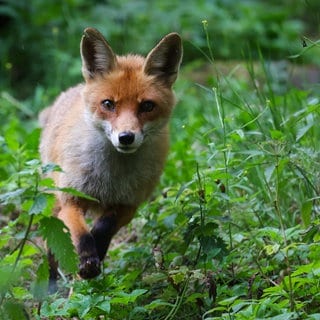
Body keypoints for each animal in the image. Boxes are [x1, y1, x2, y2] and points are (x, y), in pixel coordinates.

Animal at [39, 26, 182, 288]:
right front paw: (87, 259)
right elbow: (80, 233)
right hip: (53, 201)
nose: (126, 137)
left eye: (147, 106)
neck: (110, 178)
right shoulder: (71, 198)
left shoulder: (128, 205)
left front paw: (98, 249)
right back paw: (49, 287)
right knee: (52, 246)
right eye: (108, 104)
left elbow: (104, 227)